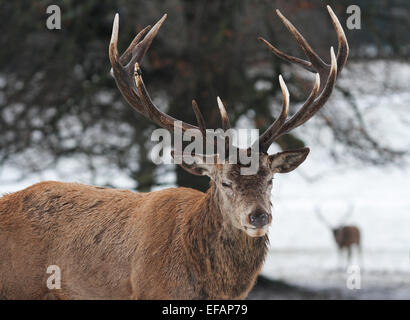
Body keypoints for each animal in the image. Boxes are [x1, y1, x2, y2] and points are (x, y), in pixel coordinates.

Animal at [0, 6, 350, 298]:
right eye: (224, 182)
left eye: (270, 180)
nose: (259, 216)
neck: (210, 288)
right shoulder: (152, 291)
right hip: (17, 286)